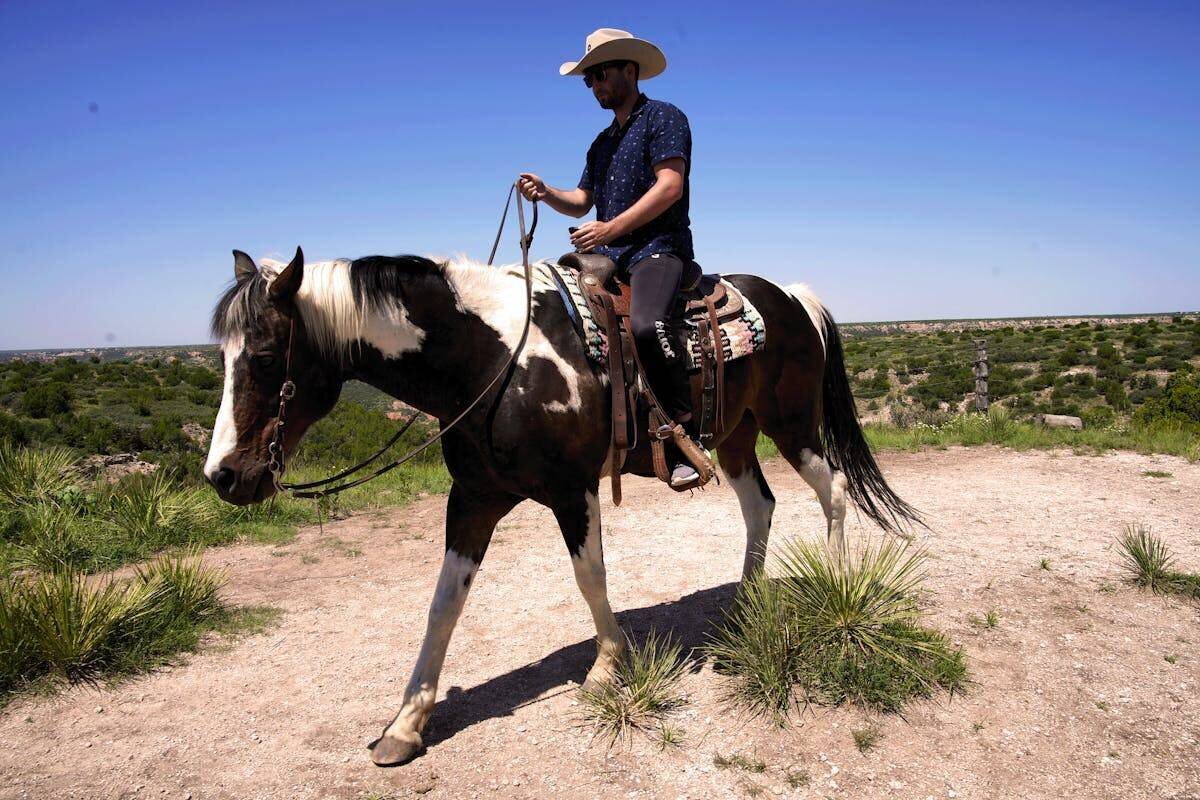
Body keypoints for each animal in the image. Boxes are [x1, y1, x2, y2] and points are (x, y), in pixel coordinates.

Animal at [204, 245, 920, 766]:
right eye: (223, 356)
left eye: (264, 356)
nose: (224, 476)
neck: (495, 360)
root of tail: (794, 297)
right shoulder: (474, 499)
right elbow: (443, 604)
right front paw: (406, 723)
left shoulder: (572, 489)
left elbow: (589, 575)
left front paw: (606, 667)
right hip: (737, 435)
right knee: (761, 506)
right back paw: (745, 604)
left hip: (791, 423)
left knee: (833, 492)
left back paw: (834, 586)